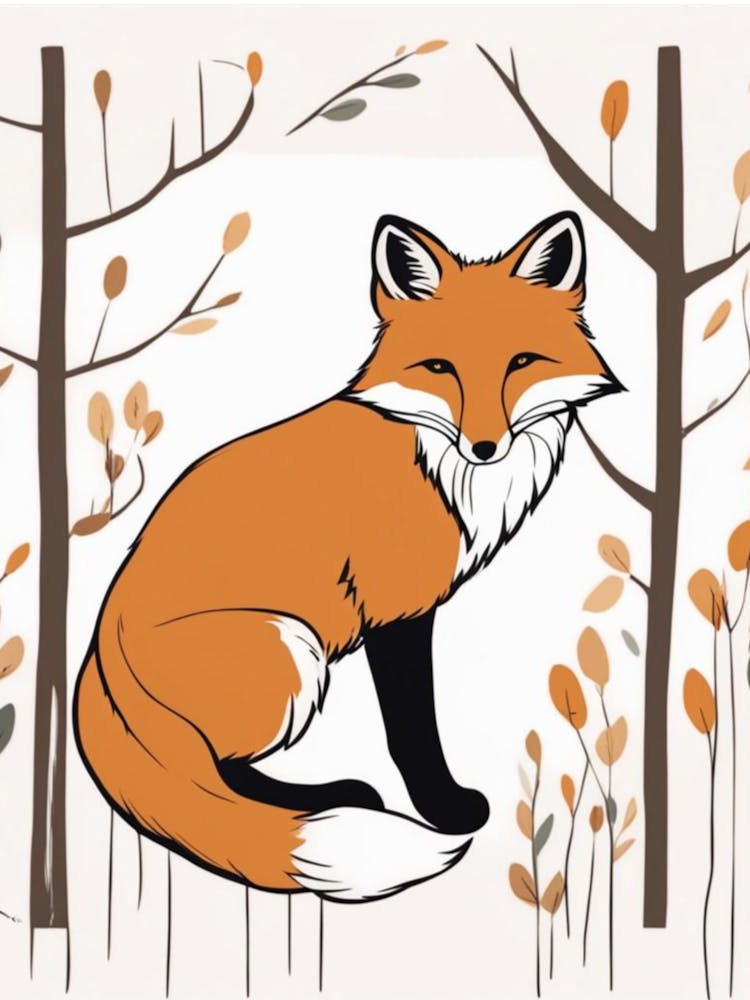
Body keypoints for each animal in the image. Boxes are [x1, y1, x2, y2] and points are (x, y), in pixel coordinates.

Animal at [74, 210, 621, 903]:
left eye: (520, 363)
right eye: (440, 367)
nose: (485, 446)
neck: (437, 467)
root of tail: (97, 648)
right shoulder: (398, 610)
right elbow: (412, 728)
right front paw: (444, 808)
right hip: (289, 647)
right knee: (218, 774)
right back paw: (333, 796)